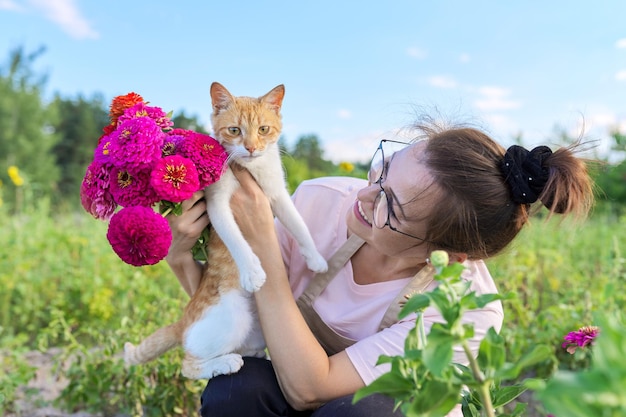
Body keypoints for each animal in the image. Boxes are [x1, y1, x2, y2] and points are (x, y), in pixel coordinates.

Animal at [122, 83, 326, 378]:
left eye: (263, 129)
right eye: (234, 130)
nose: (251, 148)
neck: (252, 168)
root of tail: (183, 320)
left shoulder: (278, 194)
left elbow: (298, 224)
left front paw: (316, 259)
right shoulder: (217, 204)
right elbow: (236, 239)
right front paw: (252, 272)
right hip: (233, 318)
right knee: (188, 366)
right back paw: (225, 362)